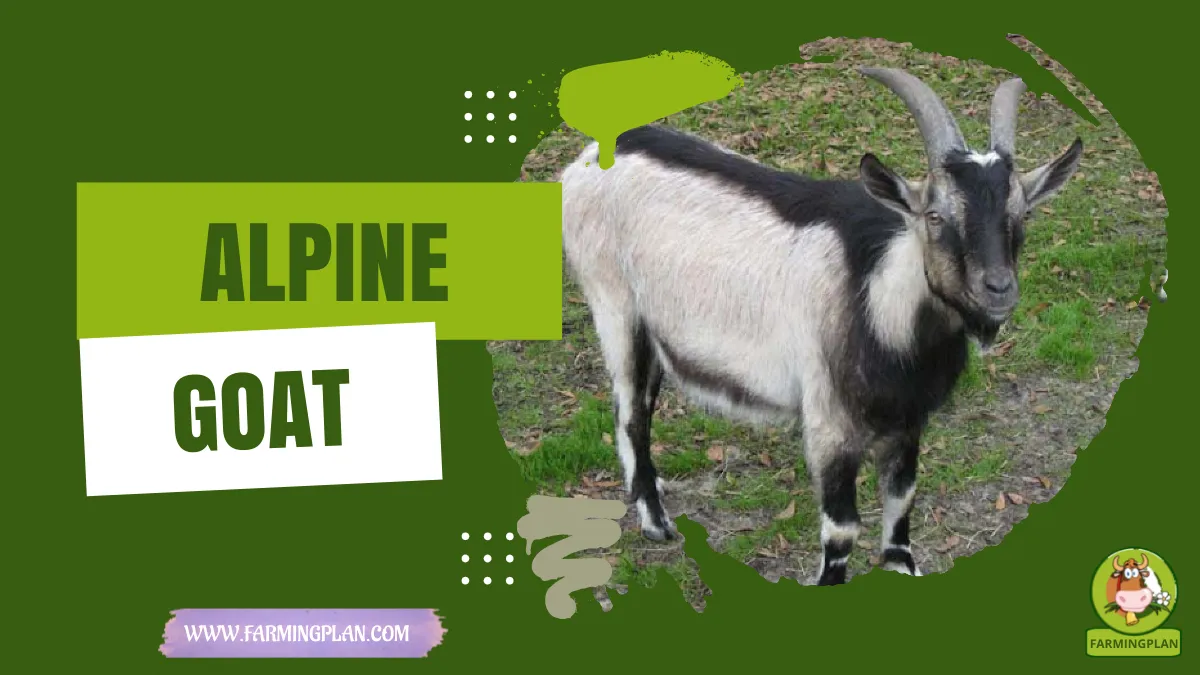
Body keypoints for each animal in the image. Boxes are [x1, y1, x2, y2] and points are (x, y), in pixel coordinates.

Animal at [559, 67, 1083, 585]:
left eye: (1022, 213)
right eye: (934, 216)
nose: (998, 289)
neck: (880, 304)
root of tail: (583, 163)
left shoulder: (909, 421)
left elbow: (902, 502)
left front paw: (903, 566)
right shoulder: (829, 423)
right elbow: (842, 530)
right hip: (616, 307)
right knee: (631, 413)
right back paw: (656, 522)